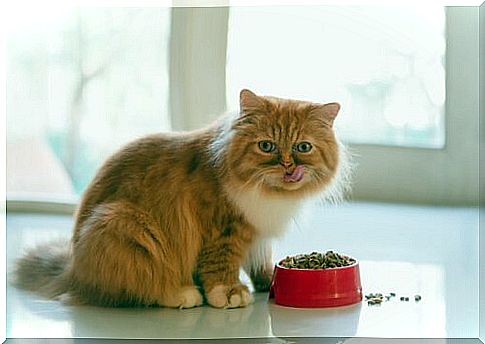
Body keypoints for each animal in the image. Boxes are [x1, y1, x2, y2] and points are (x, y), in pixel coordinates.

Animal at [14, 88, 348, 310]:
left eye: (303, 147)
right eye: (266, 146)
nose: (288, 165)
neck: (269, 194)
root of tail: (71, 270)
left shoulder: (258, 234)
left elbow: (261, 264)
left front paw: (269, 286)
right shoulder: (223, 230)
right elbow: (220, 266)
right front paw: (229, 294)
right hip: (125, 225)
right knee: (140, 289)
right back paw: (183, 294)